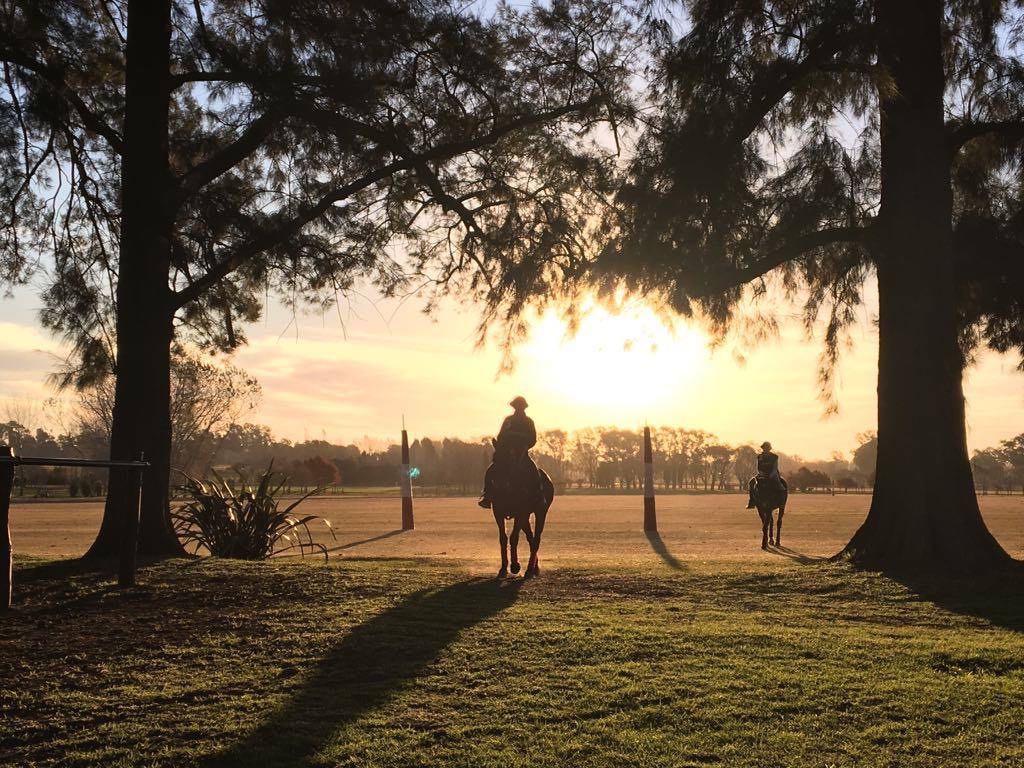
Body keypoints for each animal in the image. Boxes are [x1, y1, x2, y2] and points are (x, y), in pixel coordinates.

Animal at [491, 442, 557, 573]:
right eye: (494, 458)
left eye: (509, 460)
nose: (499, 484)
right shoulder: (498, 512)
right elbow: (503, 538)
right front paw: (503, 568)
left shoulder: (520, 512)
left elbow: (514, 537)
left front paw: (515, 566)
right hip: (526, 517)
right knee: (530, 538)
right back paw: (534, 567)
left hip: (540, 512)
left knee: (536, 539)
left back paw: (530, 570)